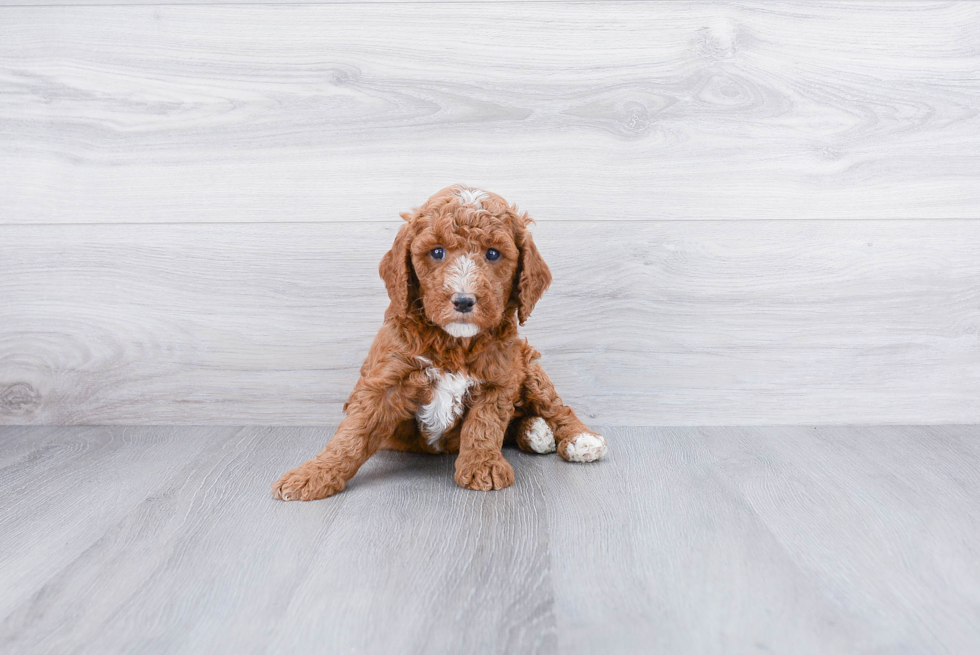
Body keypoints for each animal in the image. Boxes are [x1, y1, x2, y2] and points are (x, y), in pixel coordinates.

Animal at [270, 186, 604, 502]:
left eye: (493, 254)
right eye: (437, 252)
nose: (464, 300)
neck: (454, 342)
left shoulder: (499, 378)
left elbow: (484, 425)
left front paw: (483, 465)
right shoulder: (386, 377)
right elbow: (352, 434)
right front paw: (313, 474)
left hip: (527, 363)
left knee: (555, 405)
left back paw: (578, 439)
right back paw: (535, 431)